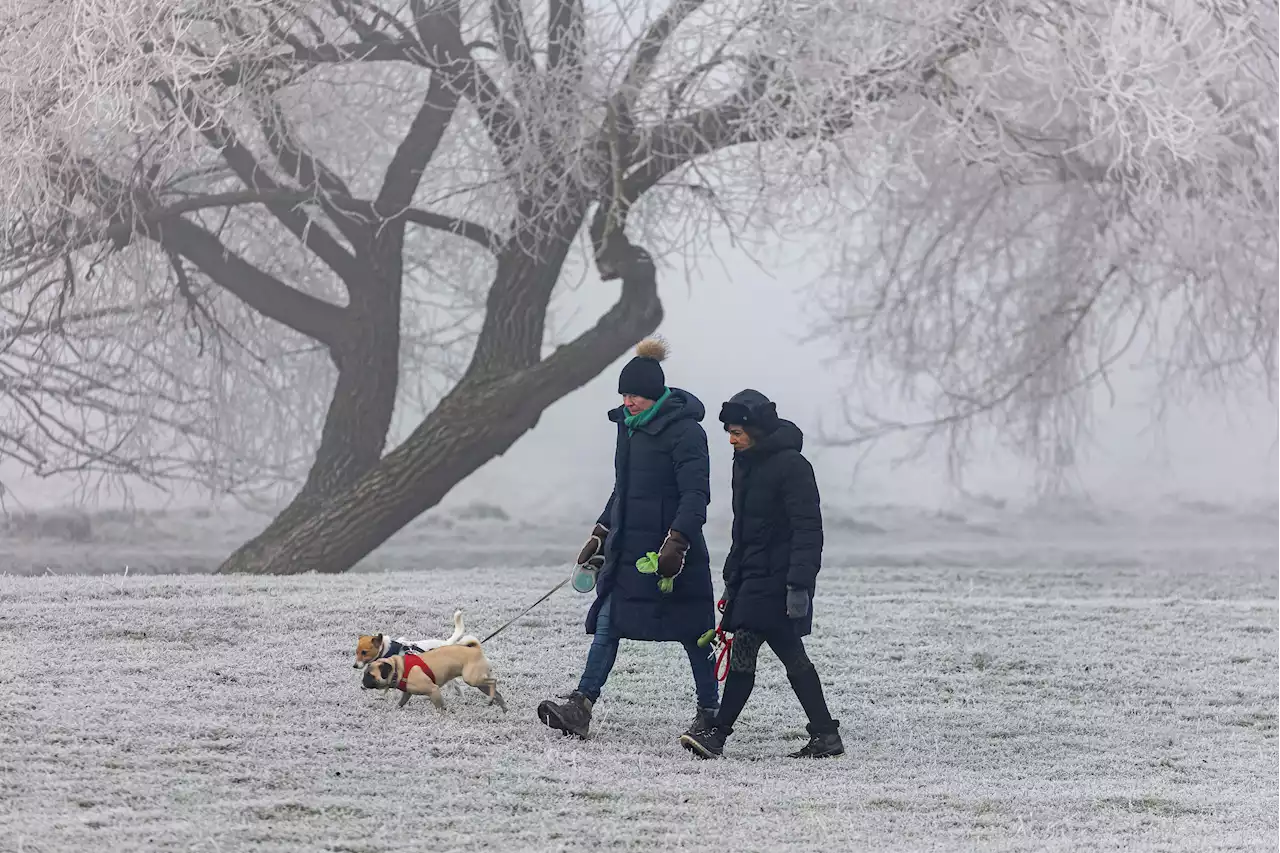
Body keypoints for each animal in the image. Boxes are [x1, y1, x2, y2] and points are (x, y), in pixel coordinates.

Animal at [360, 637, 504, 712]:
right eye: (365, 674)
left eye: (370, 675)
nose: (362, 683)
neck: (398, 668)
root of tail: (476, 650)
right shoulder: (407, 693)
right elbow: (401, 702)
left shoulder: (433, 690)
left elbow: (440, 706)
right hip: (479, 682)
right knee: (495, 691)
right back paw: (501, 705)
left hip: (472, 679)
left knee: (493, 681)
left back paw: (492, 699)